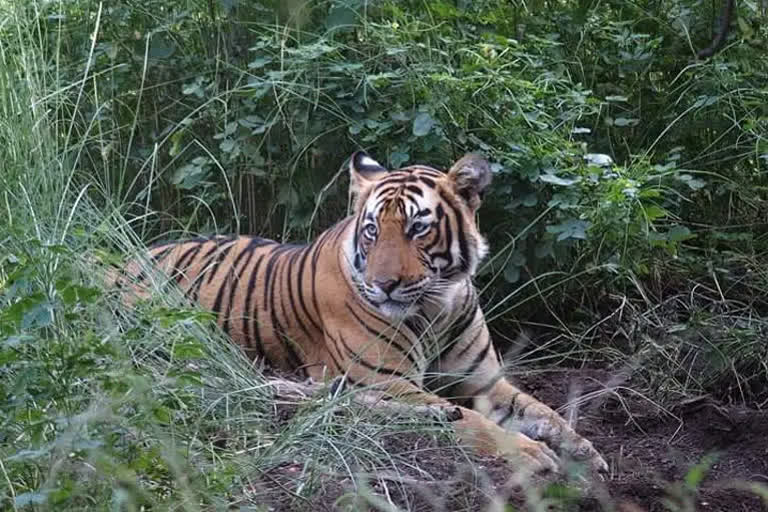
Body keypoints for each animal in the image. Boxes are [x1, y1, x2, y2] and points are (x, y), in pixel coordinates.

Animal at [117, 152, 608, 476]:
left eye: (417, 228)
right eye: (372, 230)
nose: (384, 283)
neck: (438, 305)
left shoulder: (483, 381)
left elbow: (545, 412)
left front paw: (587, 453)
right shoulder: (389, 380)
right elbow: (477, 422)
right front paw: (532, 454)